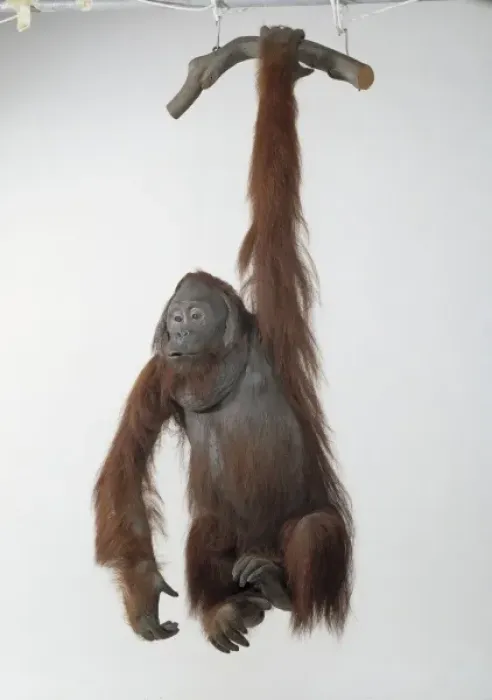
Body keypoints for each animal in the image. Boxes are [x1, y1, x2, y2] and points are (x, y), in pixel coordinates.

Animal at [93, 26, 353, 654]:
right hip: (231, 547)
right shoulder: (159, 373)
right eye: (175, 318)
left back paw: (284, 593)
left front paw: (280, 57)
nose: (181, 330)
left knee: (315, 530)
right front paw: (142, 596)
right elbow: (126, 464)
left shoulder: (276, 313)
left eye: (194, 314)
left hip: (309, 555)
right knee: (208, 527)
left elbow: (273, 183)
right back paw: (226, 610)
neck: (218, 361)